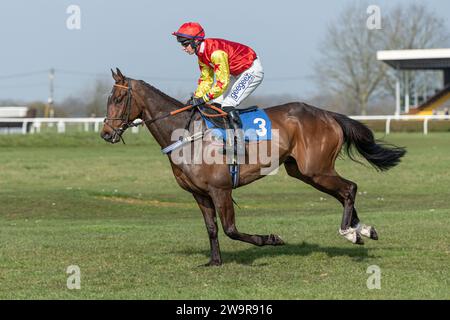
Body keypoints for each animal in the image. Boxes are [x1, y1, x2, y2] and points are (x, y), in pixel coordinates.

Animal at [103, 69, 408, 266]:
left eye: (117, 99)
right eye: (109, 99)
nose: (106, 134)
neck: (187, 135)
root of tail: (327, 114)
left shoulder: (221, 190)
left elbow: (230, 229)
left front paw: (271, 239)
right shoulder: (200, 194)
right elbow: (212, 228)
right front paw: (214, 261)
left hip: (316, 169)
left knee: (350, 188)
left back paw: (350, 232)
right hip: (303, 171)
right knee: (344, 192)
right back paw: (362, 230)